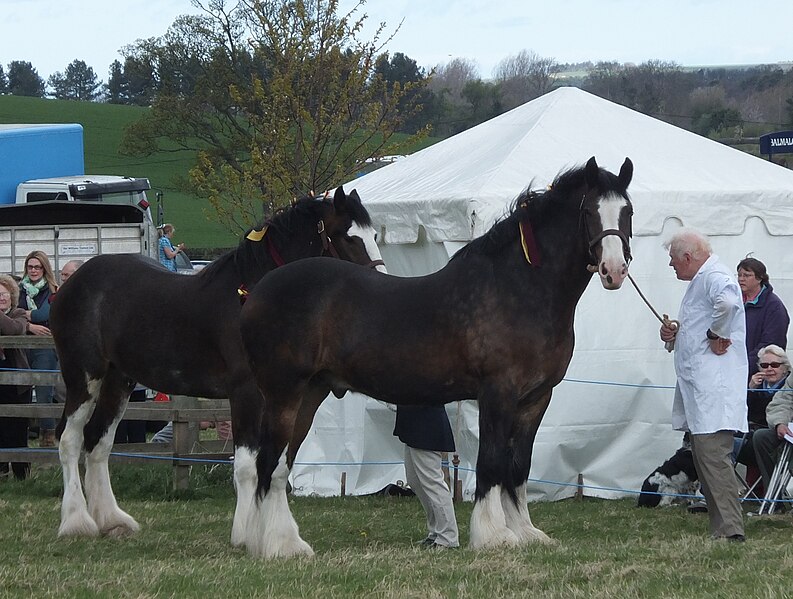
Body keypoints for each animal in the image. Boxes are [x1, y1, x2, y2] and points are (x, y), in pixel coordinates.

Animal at [48, 190, 386, 540]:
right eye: (347, 237)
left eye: (374, 235)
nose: (380, 286)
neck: (250, 299)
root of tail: (71, 283)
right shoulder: (245, 394)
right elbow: (246, 465)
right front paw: (246, 532)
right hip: (83, 376)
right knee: (70, 439)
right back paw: (76, 521)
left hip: (119, 381)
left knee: (98, 441)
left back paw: (111, 520)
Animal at [238, 156, 636, 556]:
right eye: (588, 211)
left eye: (628, 211)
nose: (614, 271)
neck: (519, 289)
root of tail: (256, 292)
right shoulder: (498, 393)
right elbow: (492, 462)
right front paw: (494, 535)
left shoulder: (536, 399)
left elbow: (518, 466)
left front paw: (525, 532)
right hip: (284, 394)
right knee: (269, 462)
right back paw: (277, 546)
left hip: (310, 393)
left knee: (279, 466)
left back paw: (284, 542)